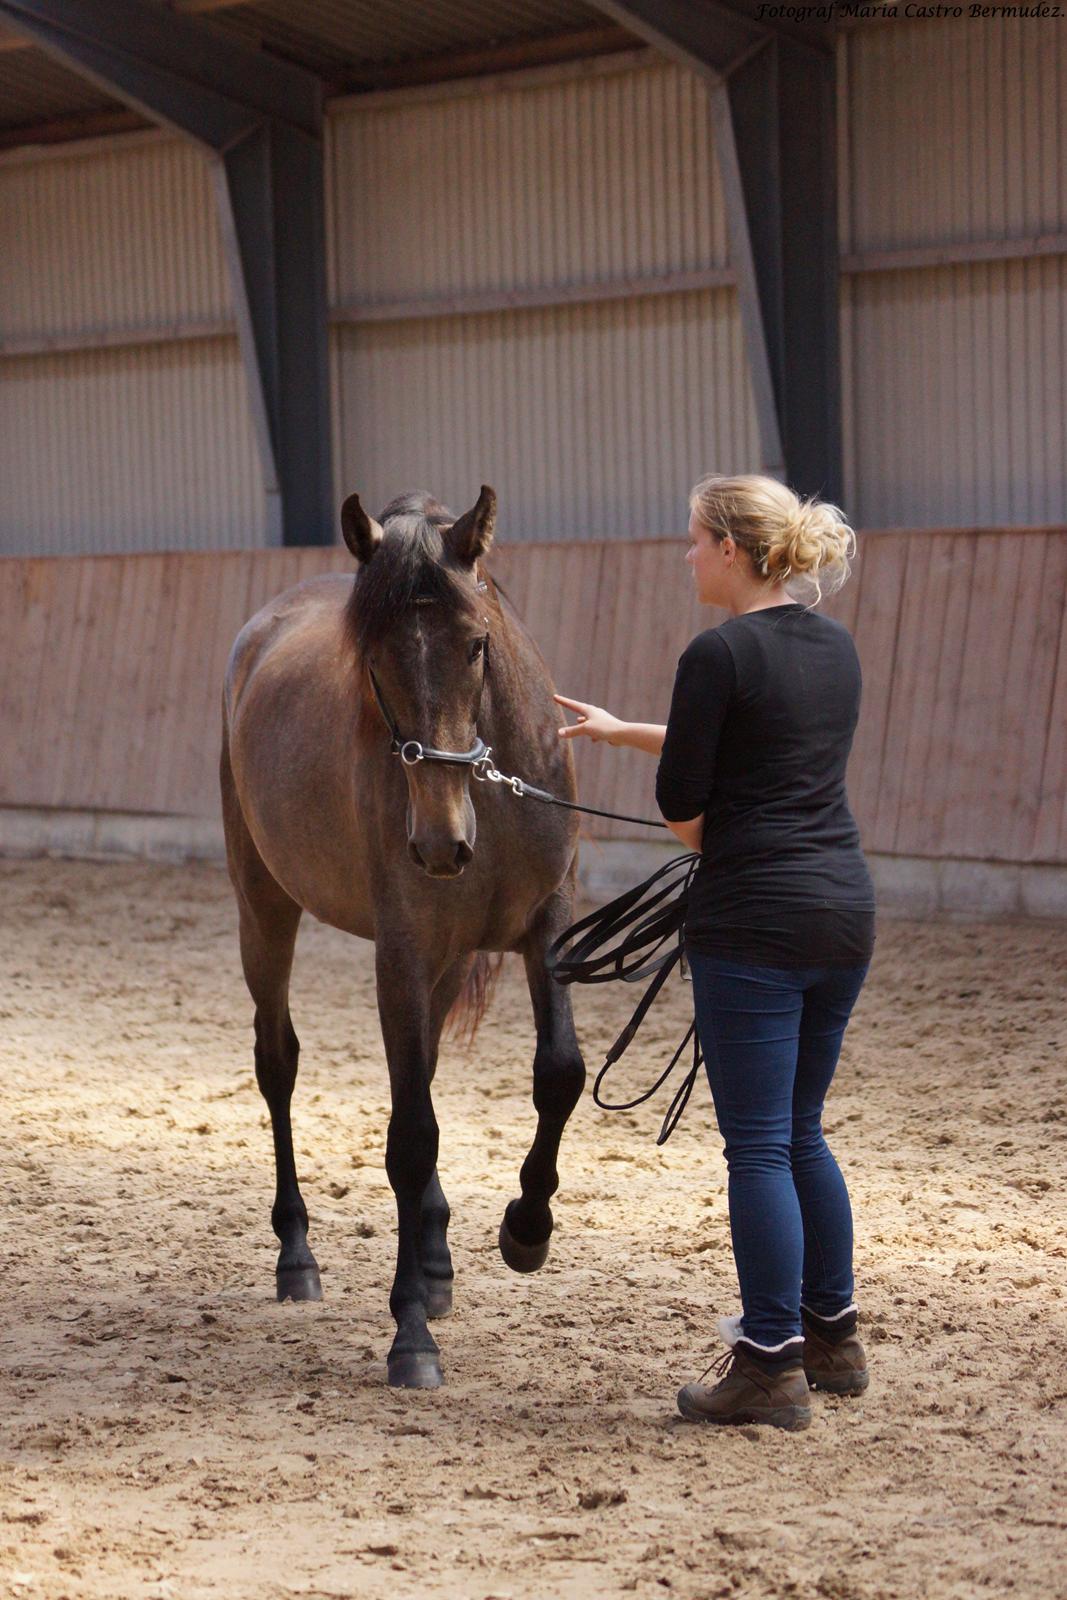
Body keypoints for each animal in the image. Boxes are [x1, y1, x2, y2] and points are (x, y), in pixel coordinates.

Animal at [220, 483, 588, 1388]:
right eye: (375, 660)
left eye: (476, 645)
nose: (440, 843)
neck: (486, 799)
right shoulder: (403, 952)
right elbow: (410, 1136)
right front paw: (410, 1335)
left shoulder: (547, 927)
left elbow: (558, 1074)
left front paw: (525, 1230)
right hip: (264, 911)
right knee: (278, 1065)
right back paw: (297, 1257)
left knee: (415, 1080)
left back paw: (435, 1255)